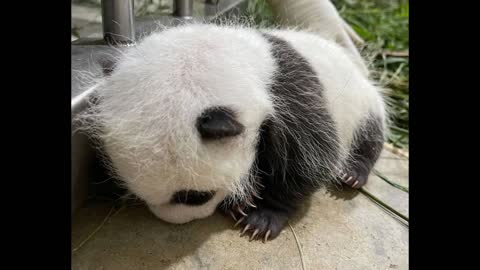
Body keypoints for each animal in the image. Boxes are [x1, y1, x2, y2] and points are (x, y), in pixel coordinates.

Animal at [78, 0, 386, 243]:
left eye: (193, 196)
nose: (175, 221)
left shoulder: (291, 96)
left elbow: (310, 160)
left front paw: (262, 217)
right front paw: (242, 200)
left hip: (362, 101)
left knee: (370, 135)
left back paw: (353, 173)